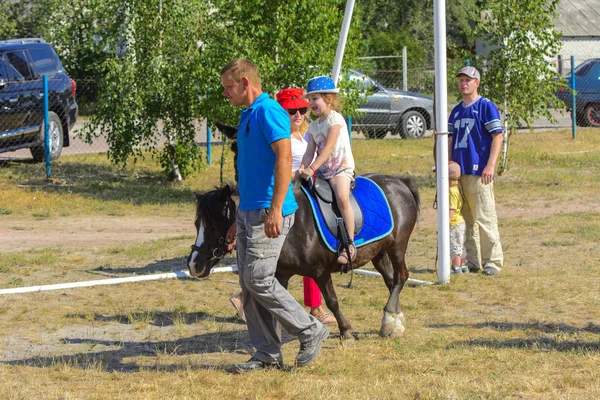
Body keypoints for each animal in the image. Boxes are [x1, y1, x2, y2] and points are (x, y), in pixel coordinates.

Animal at [186, 124, 418, 338]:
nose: (194, 265)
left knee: (401, 276)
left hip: (398, 245)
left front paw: (345, 331)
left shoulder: (320, 271)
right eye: (198, 225)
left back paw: (389, 318)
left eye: (214, 224)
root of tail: (399, 182)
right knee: (391, 281)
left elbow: (332, 300)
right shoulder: (280, 274)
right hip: (378, 251)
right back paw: (394, 321)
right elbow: (276, 306)